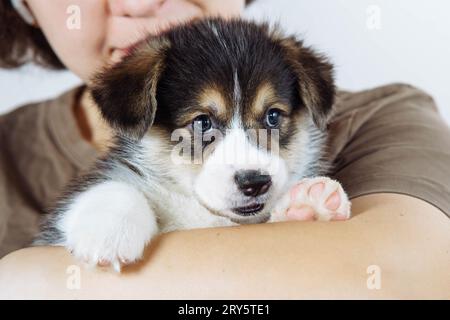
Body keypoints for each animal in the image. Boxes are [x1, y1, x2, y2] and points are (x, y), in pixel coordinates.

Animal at [36, 18, 352, 270]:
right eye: (202, 122)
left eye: (273, 116)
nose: (255, 183)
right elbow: (118, 187)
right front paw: (108, 231)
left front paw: (309, 204)